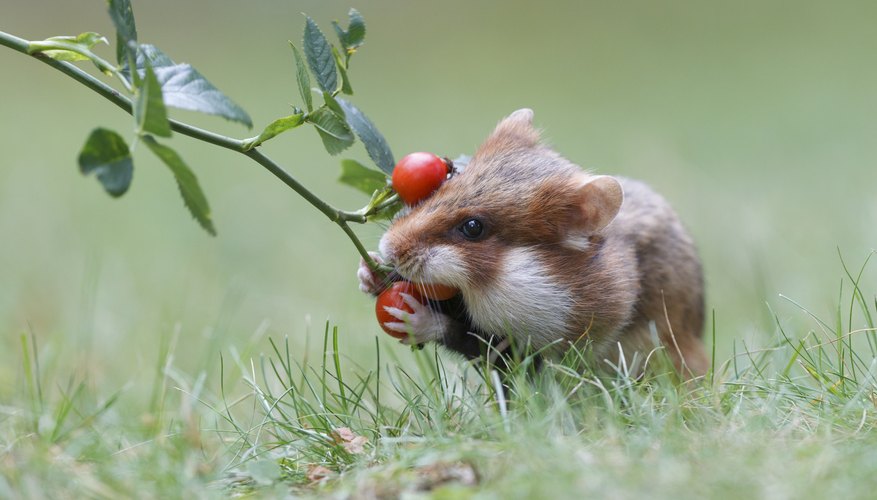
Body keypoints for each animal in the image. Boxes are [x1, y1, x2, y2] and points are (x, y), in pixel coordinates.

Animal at [360, 108, 708, 376]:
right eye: (442, 185)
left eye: (473, 228)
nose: (389, 247)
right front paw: (368, 272)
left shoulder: (538, 344)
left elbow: (469, 338)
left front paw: (412, 318)